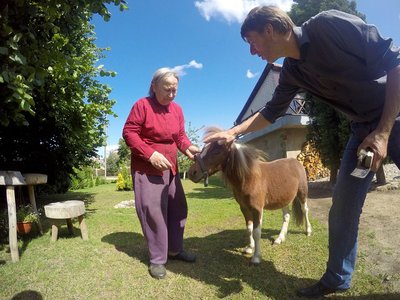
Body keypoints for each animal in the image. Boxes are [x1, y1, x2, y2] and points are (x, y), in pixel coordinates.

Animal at [188, 127, 312, 264]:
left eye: (216, 151)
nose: (191, 172)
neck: (249, 178)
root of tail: (295, 162)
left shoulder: (257, 209)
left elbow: (257, 231)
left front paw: (256, 256)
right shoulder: (244, 207)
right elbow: (249, 228)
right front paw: (249, 248)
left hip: (302, 194)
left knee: (305, 210)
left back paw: (308, 231)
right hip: (283, 198)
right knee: (286, 216)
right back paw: (279, 238)